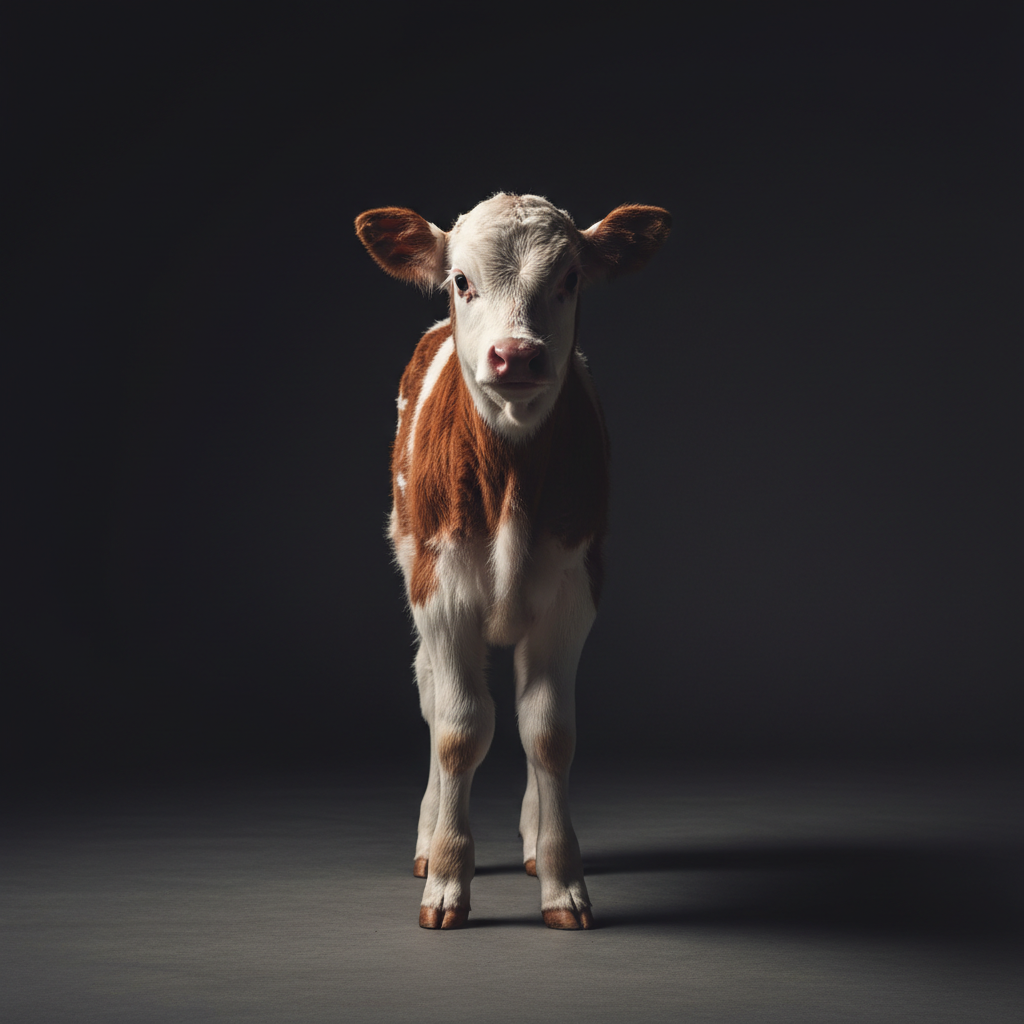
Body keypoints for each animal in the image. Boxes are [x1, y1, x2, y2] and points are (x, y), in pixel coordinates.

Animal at [355, 193, 671, 929]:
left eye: (570, 280)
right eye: (461, 281)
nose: (517, 355)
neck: (510, 484)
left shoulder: (574, 593)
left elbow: (548, 732)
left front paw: (562, 882)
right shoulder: (441, 593)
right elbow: (459, 729)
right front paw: (447, 879)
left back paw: (530, 839)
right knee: (433, 697)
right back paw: (428, 835)